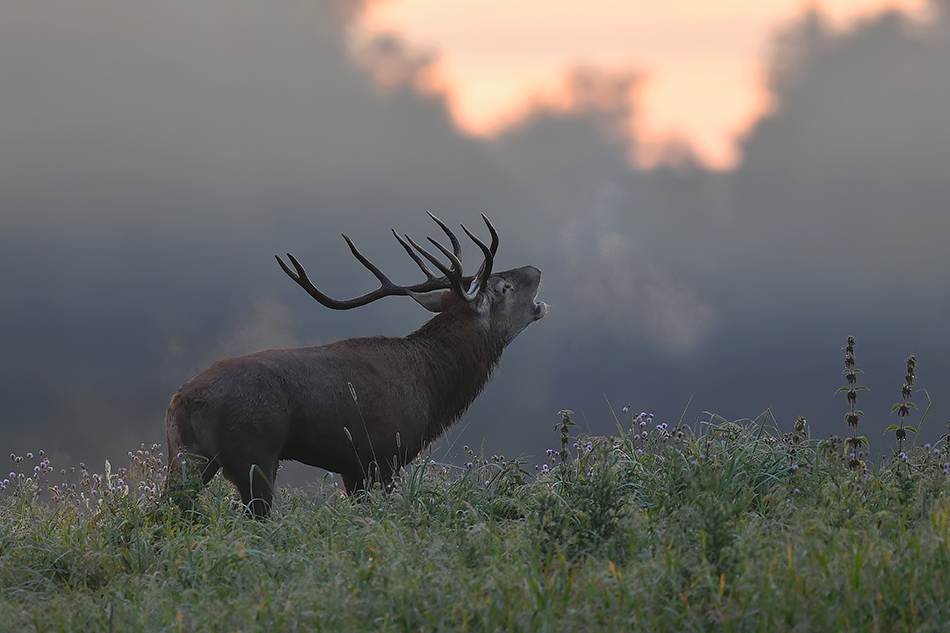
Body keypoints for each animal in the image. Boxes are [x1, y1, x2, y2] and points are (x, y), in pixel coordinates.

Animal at [167, 212, 548, 512]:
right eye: (503, 286)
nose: (536, 269)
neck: (432, 387)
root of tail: (181, 400)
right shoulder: (387, 453)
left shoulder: (351, 466)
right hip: (254, 453)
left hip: (186, 456)